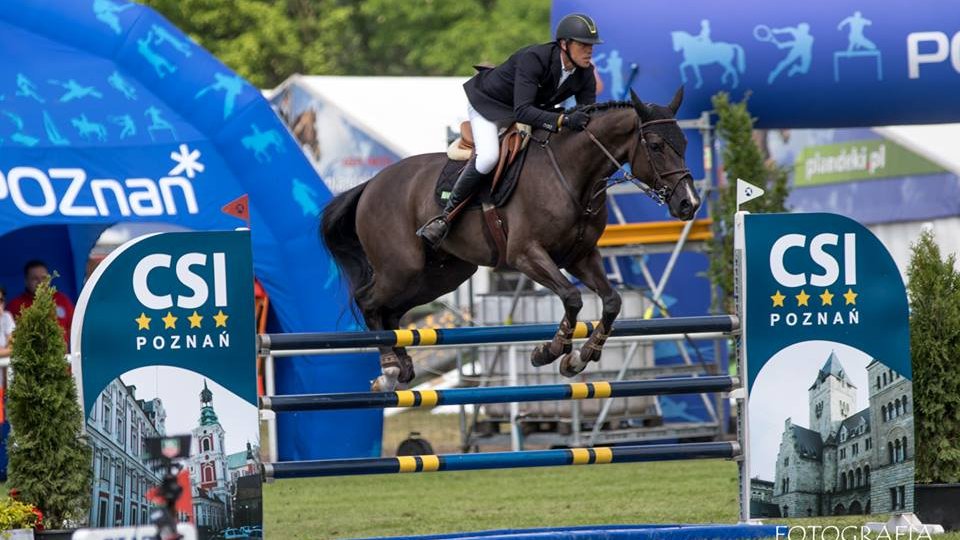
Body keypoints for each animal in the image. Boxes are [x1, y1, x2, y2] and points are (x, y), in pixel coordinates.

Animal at [320, 89, 696, 392]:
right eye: (656, 146)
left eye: (684, 143)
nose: (688, 203)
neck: (572, 174)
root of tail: (370, 184)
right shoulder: (525, 255)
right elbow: (572, 297)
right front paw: (549, 351)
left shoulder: (581, 256)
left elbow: (612, 302)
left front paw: (581, 357)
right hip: (402, 267)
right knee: (369, 302)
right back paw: (388, 370)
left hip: (442, 275)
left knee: (392, 312)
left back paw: (403, 366)